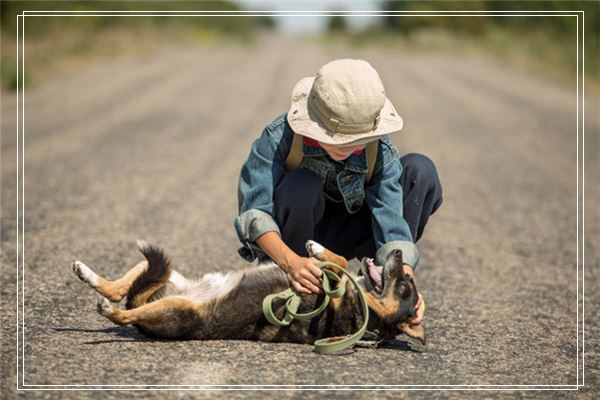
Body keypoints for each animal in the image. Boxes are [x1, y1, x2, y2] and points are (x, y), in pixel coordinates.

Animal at [72, 241, 424, 346]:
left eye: (405, 286)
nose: (399, 253)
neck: (363, 309)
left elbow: (337, 263)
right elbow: (335, 259)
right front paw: (317, 247)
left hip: (176, 310)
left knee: (125, 311)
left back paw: (110, 310)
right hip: (169, 276)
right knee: (122, 287)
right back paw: (85, 272)